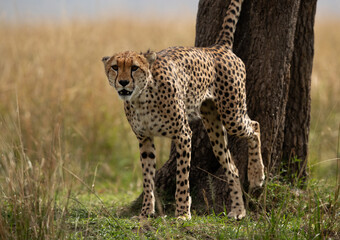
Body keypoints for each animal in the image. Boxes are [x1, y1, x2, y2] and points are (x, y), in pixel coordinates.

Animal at [101, 0, 266, 219]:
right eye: (115, 67)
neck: (141, 98)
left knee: (255, 126)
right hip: (214, 127)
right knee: (232, 167)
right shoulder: (144, 138)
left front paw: (181, 212)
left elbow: (182, 177)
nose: (123, 82)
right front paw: (146, 212)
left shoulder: (183, 133)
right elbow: (147, 178)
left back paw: (257, 176)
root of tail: (217, 47)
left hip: (232, 115)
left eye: (134, 67)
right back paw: (239, 210)